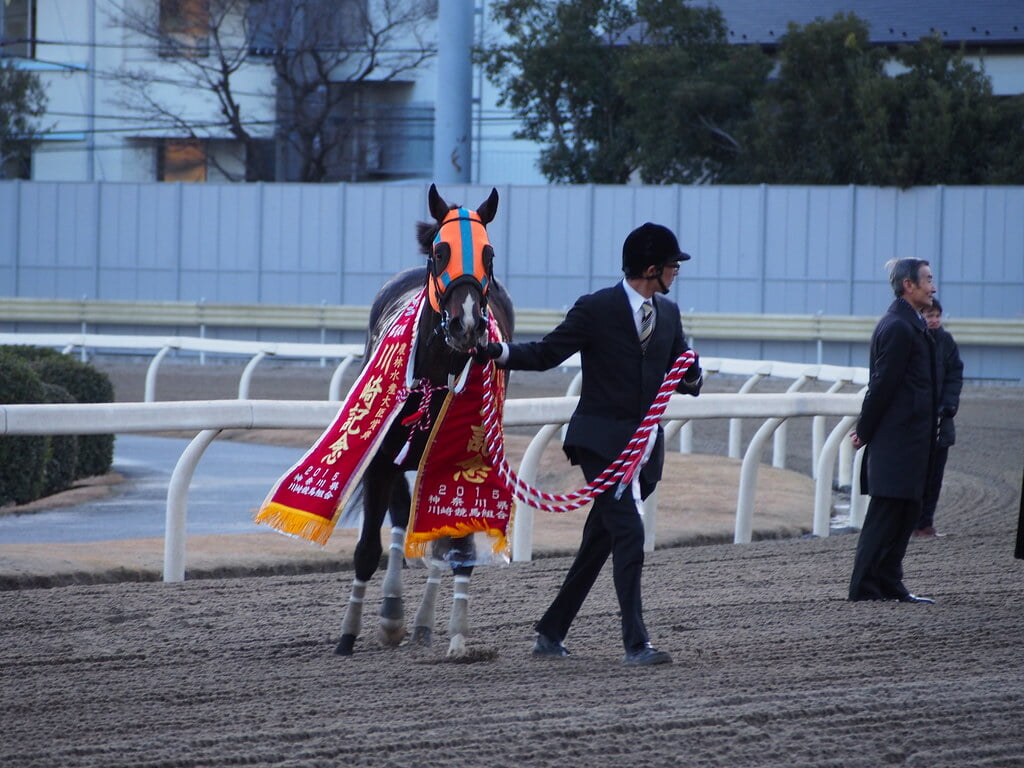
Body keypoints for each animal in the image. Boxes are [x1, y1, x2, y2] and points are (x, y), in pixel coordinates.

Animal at [333, 183, 512, 659]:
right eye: (440, 250)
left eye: (488, 254)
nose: (466, 323)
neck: (437, 371)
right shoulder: (381, 457)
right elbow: (368, 548)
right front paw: (349, 634)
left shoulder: (464, 460)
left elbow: (457, 546)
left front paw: (457, 634)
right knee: (399, 519)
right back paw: (393, 613)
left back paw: (420, 622)